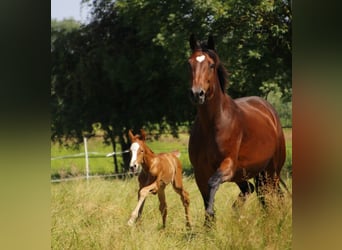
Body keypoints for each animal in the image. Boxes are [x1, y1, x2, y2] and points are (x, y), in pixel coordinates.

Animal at [187, 34, 288, 225]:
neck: (213, 125)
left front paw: (212, 213)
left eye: (211, 65)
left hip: (271, 171)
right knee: (253, 190)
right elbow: (206, 197)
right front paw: (209, 224)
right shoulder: (200, 172)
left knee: (271, 195)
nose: (198, 94)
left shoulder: (228, 164)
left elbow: (213, 183)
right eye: (189, 63)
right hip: (246, 173)